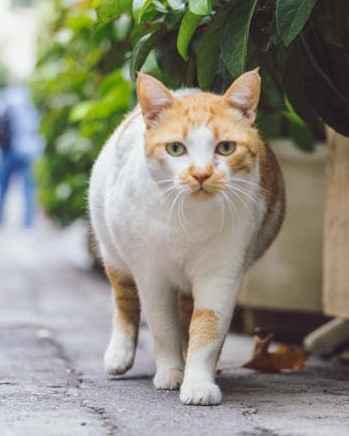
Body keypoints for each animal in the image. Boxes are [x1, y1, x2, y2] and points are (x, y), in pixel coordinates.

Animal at [88, 68, 284, 406]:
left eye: (226, 148)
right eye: (176, 148)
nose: (201, 174)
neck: (190, 221)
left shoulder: (221, 273)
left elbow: (207, 328)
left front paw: (198, 382)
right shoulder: (151, 275)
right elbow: (162, 326)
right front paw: (170, 373)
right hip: (113, 251)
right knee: (124, 300)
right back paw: (120, 354)